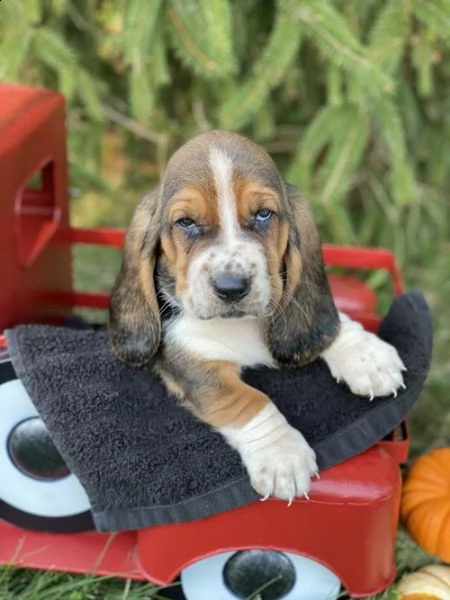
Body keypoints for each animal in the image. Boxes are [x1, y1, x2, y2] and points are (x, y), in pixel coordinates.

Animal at [107, 129, 406, 504]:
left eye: (264, 215)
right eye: (185, 222)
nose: (231, 288)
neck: (240, 325)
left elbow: (326, 323)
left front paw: (365, 355)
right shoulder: (194, 365)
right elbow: (247, 399)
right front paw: (282, 454)